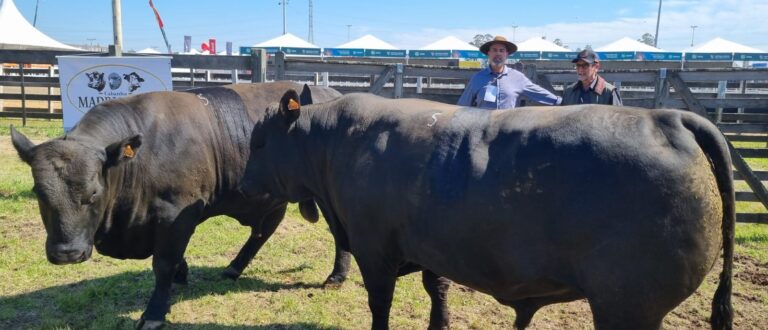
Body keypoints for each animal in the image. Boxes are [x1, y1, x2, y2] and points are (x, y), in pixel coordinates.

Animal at [10, 81, 356, 328]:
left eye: (94, 193)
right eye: (39, 192)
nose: (67, 253)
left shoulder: (177, 213)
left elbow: (163, 263)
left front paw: (154, 313)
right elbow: (173, 259)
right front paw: (182, 272)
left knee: (338, 236)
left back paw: (336, 276)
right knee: (264, 230)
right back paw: (234, 267)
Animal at [243, 91, 736, 330]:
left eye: (259, 142)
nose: (246, 184)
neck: (338, 140)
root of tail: (669, 117)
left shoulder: (373, 248)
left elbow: (380, 304)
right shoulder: (434, 245)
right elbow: (437, 291)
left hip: (629, 305)